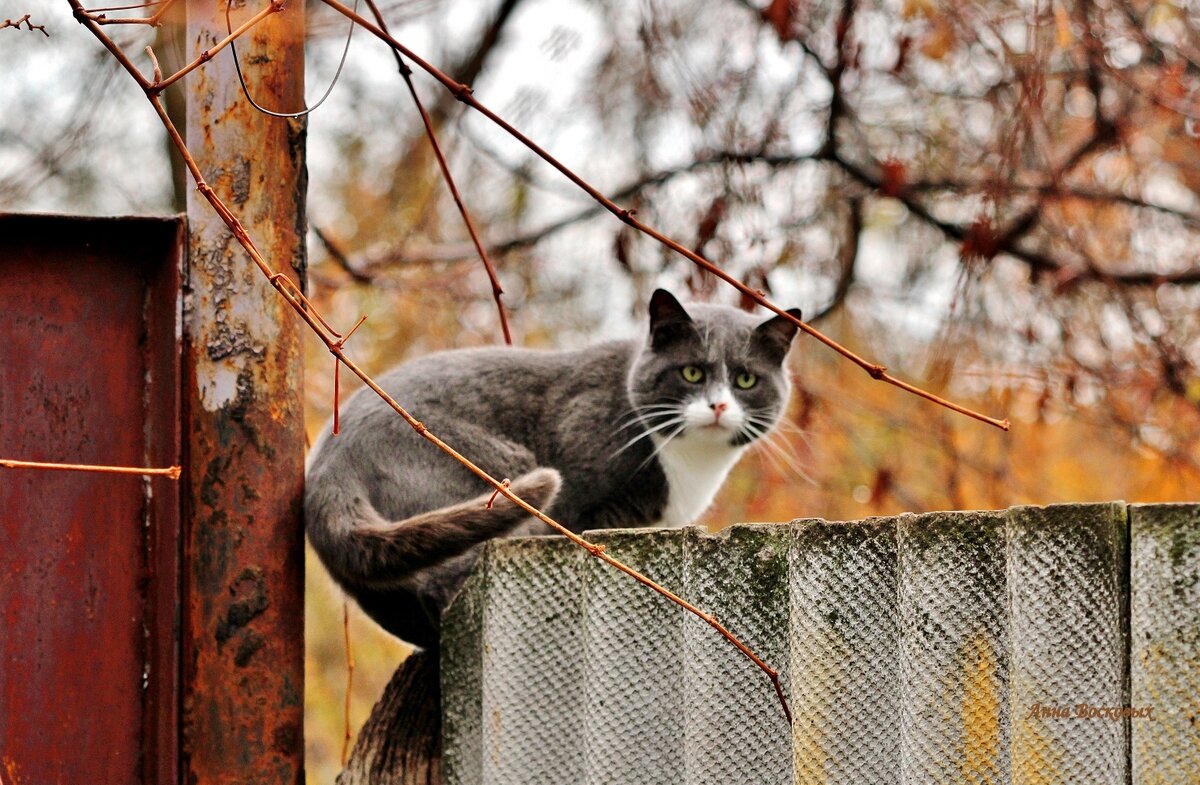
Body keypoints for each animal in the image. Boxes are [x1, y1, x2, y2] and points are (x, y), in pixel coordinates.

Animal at [304, 291, 801, 648]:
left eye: (746, 380)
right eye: (692, 373)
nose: (718, 406)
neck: (692, 464)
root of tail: (330, 465)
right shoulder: (590, 495)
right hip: (491, 469)